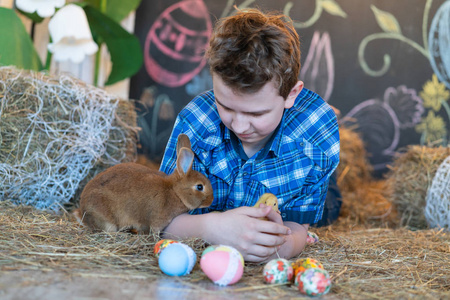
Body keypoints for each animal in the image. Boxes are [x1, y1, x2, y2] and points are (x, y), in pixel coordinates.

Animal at [73, 134, 214, 234]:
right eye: (199, 186)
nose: (211, 200)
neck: (174, 191)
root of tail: (82, 212)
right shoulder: (154, 221)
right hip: (106, 220)